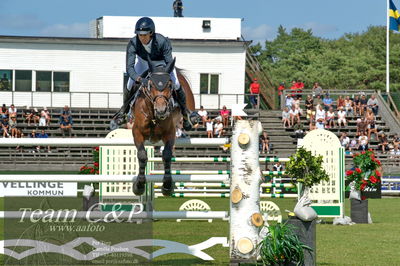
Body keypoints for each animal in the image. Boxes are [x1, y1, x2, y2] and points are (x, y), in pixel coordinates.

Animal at [131, 57, 195, 195]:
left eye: (170, 85)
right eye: (151, 85)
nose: (161, 110)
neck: (153, 116)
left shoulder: (170, 133)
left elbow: (166, 155)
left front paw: (167, 186)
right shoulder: (137, 133)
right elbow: (142, 155)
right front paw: (139, 185)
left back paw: (189, 120)